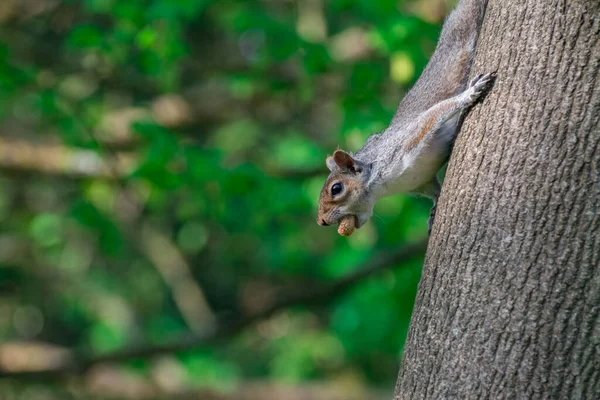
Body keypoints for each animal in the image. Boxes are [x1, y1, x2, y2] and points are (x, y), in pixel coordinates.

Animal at [316, 0, 494, 238]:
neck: (381, 185)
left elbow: (433, 115)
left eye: (336, 188)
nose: (321, 222)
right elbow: (435, 192)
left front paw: (469, 93)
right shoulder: (422, 181)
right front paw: (433, 213)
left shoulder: (406, 141)